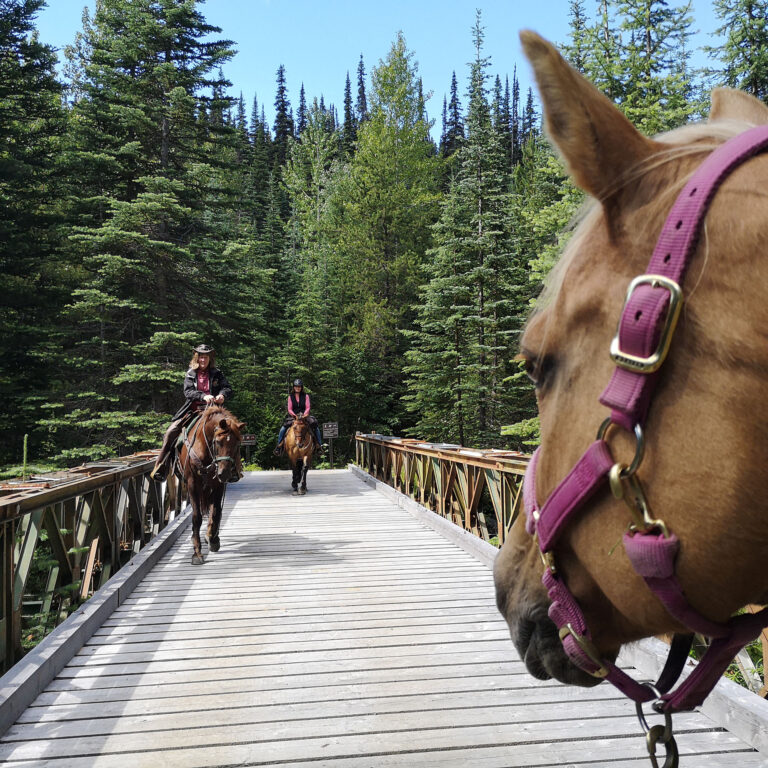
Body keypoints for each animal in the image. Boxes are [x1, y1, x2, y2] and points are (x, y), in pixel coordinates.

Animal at [177, 405, 244, 563]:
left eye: (237, 443)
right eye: (218, 442)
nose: (225, 473)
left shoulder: (218, 484)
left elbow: (217, 511)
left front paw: (213, 539)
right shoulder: (192, 484)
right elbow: (197, 516)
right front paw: (196, 552)